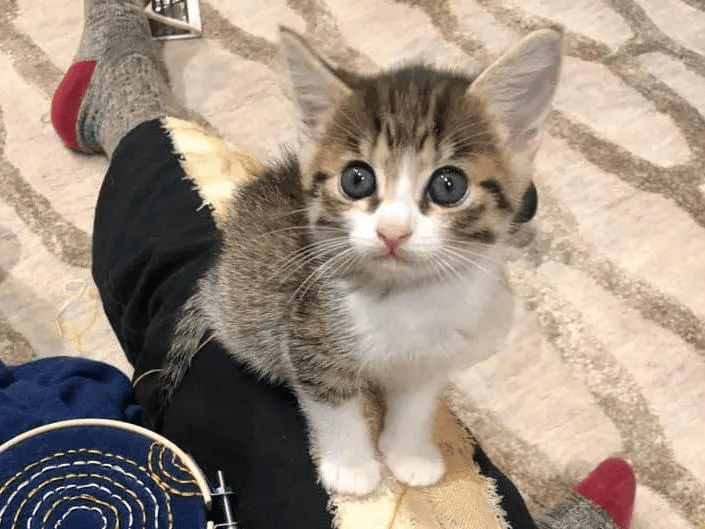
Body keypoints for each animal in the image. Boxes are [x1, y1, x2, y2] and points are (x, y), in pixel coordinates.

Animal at [162, 25, 564, 496]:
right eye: (357, 179)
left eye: (449, 185)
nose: (393, 232)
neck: (405, 299)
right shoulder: (306, 331)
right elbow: (331, 402)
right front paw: (352, 468)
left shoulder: (434, 354)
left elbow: (418, 402)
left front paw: (409, 454)